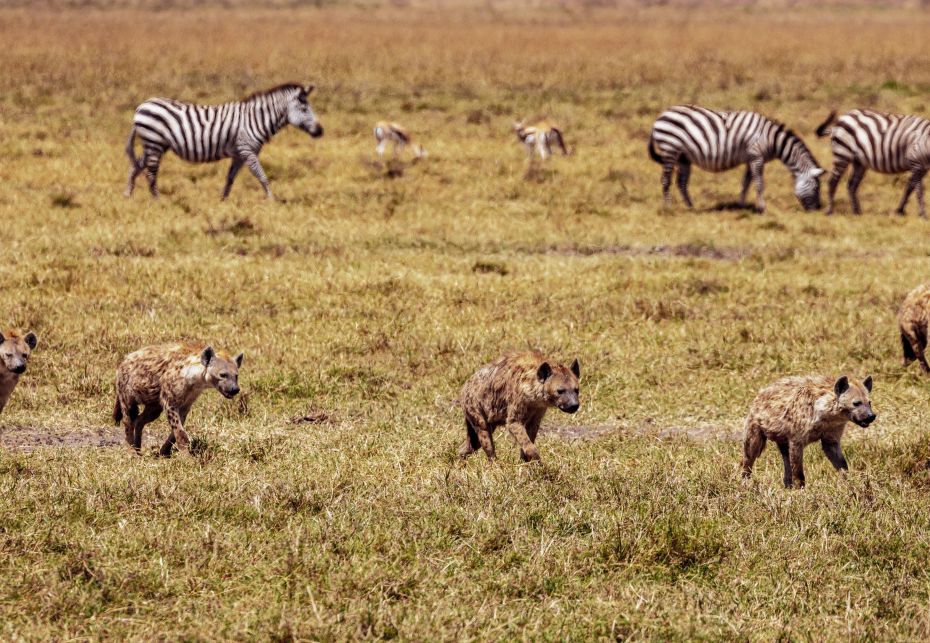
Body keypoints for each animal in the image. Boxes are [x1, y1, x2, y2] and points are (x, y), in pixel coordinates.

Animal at [125, 82, 322, 199]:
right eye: (304, 109)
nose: (320, 131)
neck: (256, 119)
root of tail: (141, 106)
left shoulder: (239, 154)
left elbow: (230, 179)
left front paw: (223, 200)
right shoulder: (247, 150)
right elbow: (262, 176)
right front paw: (271, 200)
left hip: (156, 145)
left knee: (137, 166)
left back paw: (128, 195)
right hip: (154, 142)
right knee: (150, 173)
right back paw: (157, 201)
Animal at [644, 104, 820, 213]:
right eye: (816, 188)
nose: (816, 211)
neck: (771, 139)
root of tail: (660, 116)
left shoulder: (751, 158)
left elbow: (746, 184)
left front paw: (741, 205)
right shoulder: (757, 156)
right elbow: (759, 184)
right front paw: (762, 208)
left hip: (683, 156)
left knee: (681, 182)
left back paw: (690, 207)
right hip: (670, 148)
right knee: (666, 180)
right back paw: (668, 207)